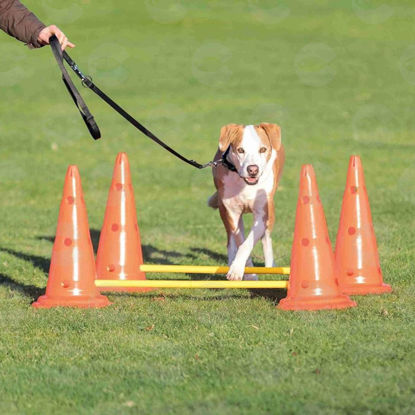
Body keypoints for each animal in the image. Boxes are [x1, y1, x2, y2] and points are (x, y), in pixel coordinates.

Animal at [208, 122, 286, 282]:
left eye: (263, 149)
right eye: (240, 150)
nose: (253, 170)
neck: (244, 184)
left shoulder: (262, 214)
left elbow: (247, 243)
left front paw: (240, 269)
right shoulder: (232, 212)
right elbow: (240, 241)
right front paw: (246, 273)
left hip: (271, 211)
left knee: (266, 238)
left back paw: (270, 266)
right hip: (224, 211)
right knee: (231, 239)